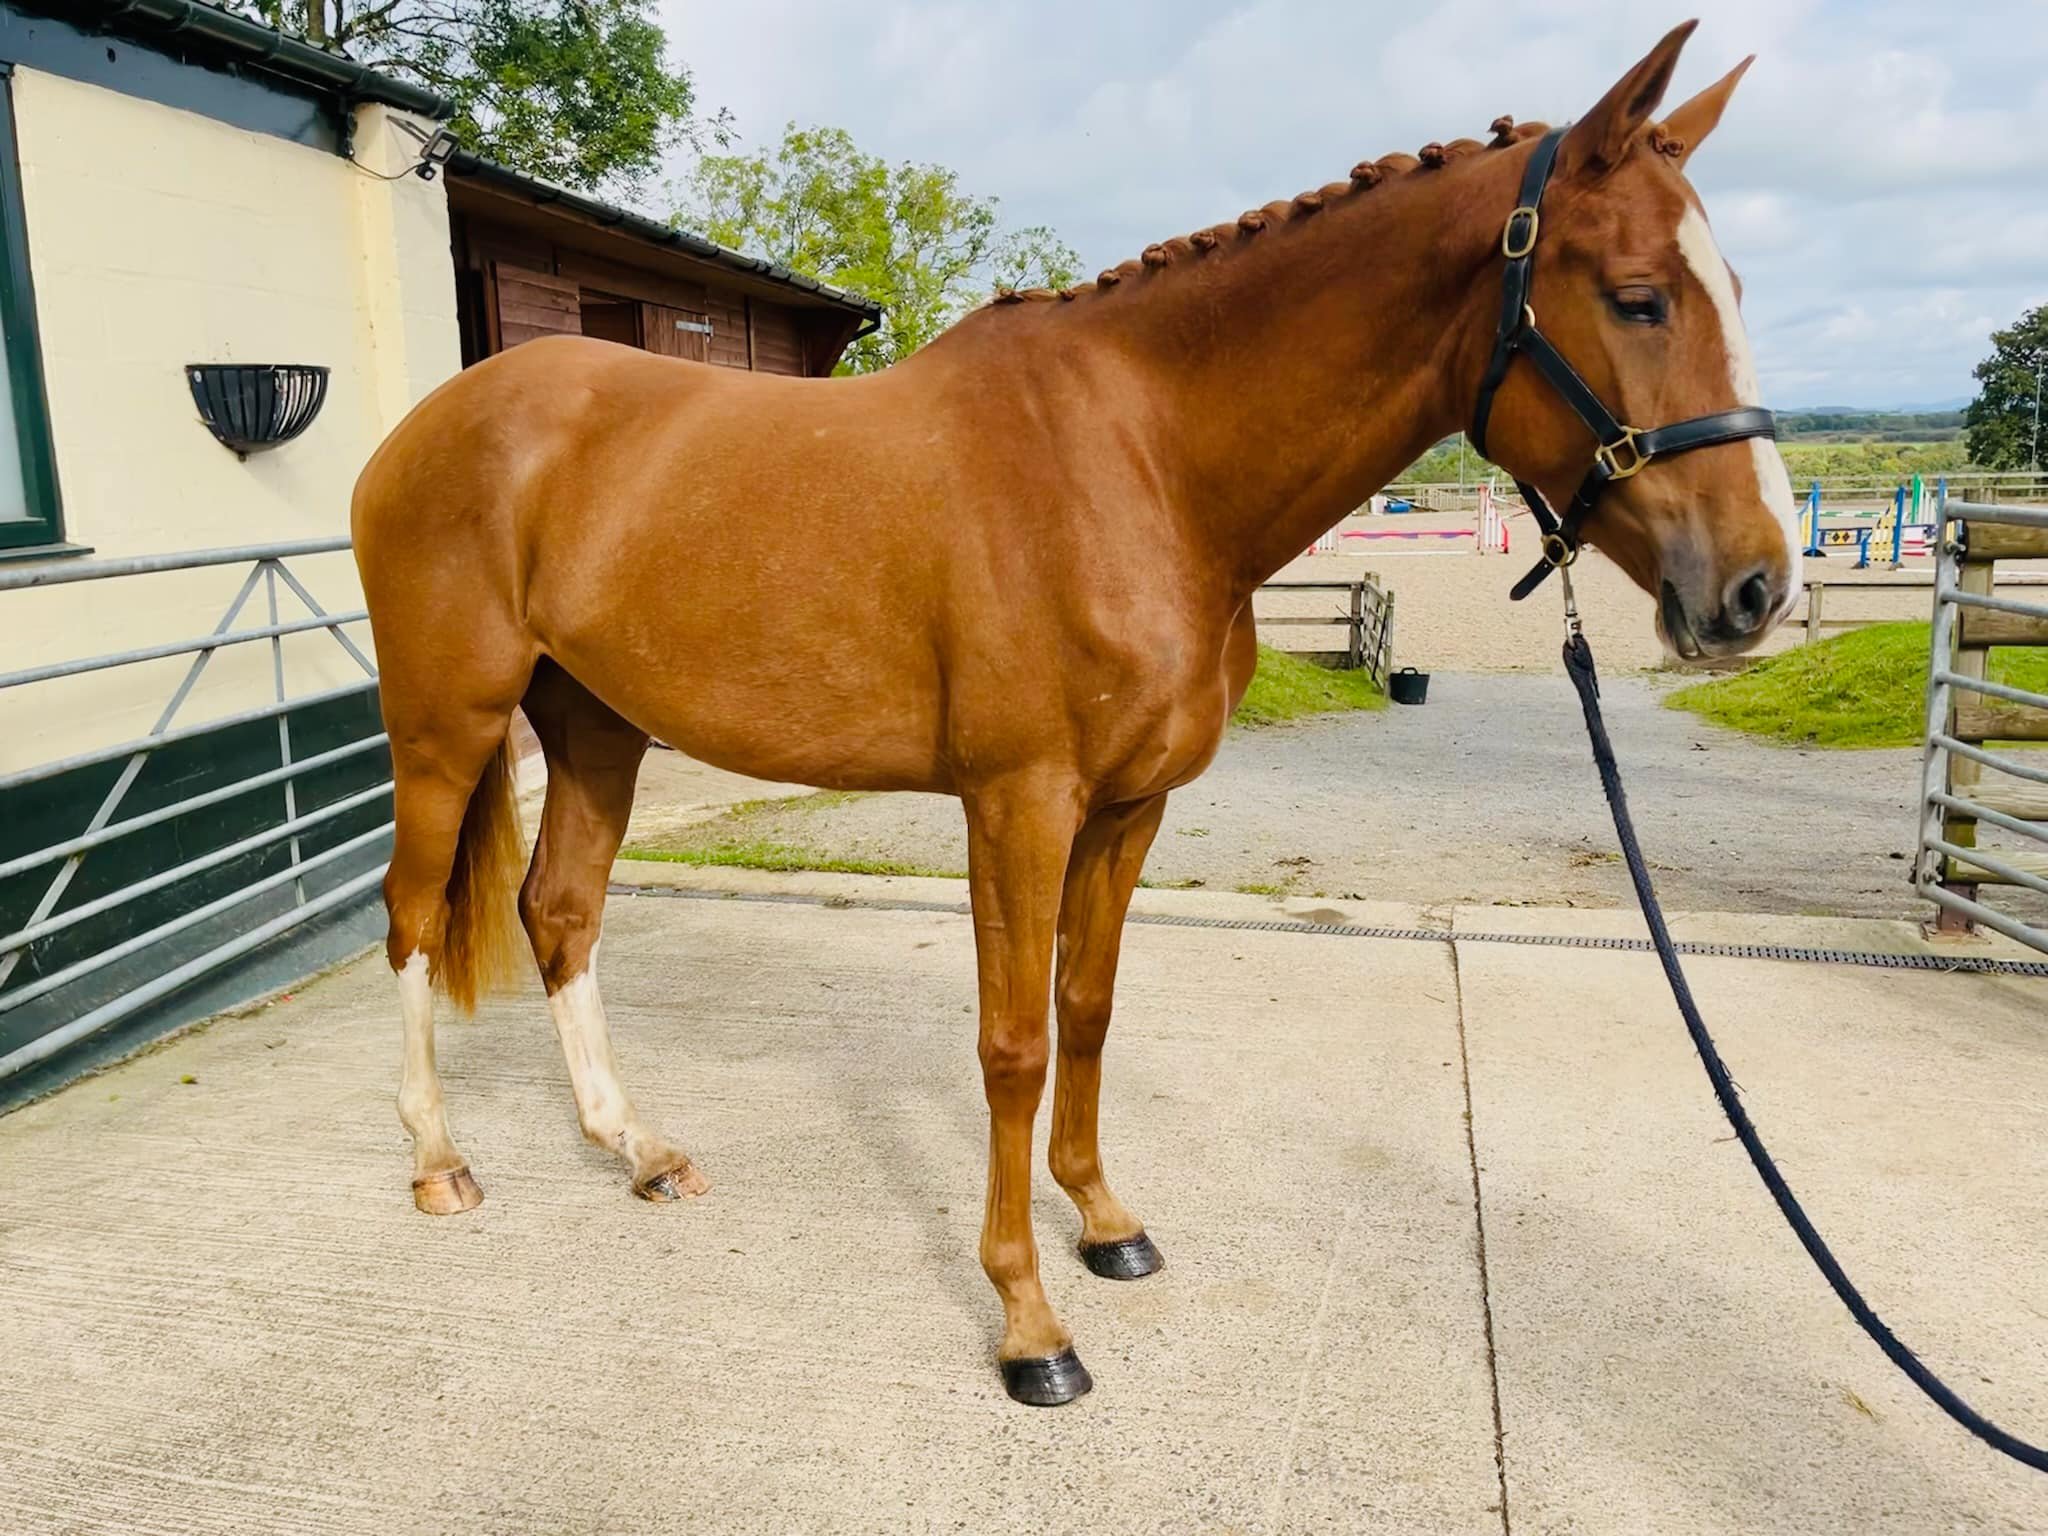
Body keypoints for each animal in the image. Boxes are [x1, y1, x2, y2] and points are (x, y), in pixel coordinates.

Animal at [351, 20, 1797, 1405]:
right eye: (1637, 297)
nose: (1754, 586)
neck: (1141, 460)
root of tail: (425, 426)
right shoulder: (1018, 804)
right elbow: (1013, 1043)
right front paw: (1029, 1324)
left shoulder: (1128, 807)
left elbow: (1087, 1010)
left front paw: (1105, 1225)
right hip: (446, 724)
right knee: (412, 917)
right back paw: (437, 1160)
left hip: (597, 725)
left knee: (561, 912)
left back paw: (636, 1148)